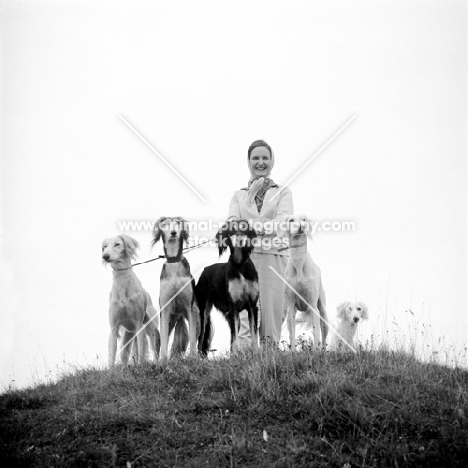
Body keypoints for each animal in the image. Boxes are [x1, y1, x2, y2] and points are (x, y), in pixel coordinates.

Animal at [102, 234, 161, 366]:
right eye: (105, 247)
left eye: (117, 244)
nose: (105, 256)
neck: (122, 281)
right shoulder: (113, 329)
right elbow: (111, 358)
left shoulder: (139, 325)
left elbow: (140, 355)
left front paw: (140, 366)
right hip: (127, 337)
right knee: (124, 356)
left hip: (151, 329)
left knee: (154, 352)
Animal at [152, 217, 199, 358]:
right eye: (165, 224)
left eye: (178, 223)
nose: (173, 233)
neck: (174, 261)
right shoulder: (165, 309)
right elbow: (163, 342)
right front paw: (163, 360)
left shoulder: (189, 308)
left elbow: (193, 338)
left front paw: (193, 358)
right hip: (170, 320)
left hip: (196, 316)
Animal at [195, 219, 260, 354]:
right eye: (232, 229)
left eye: (244, 227)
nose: (240, 239)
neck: (240, 265)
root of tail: (204, 270)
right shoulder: (233, 307)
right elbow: (235, 336)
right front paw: (236, 354)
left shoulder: (252, 306)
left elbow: (254, 333)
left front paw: (256, 352)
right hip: (203, 313)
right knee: (200, 340)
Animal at [284, 214, 328, 350]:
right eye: (291, 220)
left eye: (303, 219)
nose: (301, 226)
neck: (299, 263)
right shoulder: (291, 306)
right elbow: (292, 335)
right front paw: (292, 351)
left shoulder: (313, 306)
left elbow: (316, 333)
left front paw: (315, 351)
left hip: (323, 313)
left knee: (323, 336)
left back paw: (323, 350)